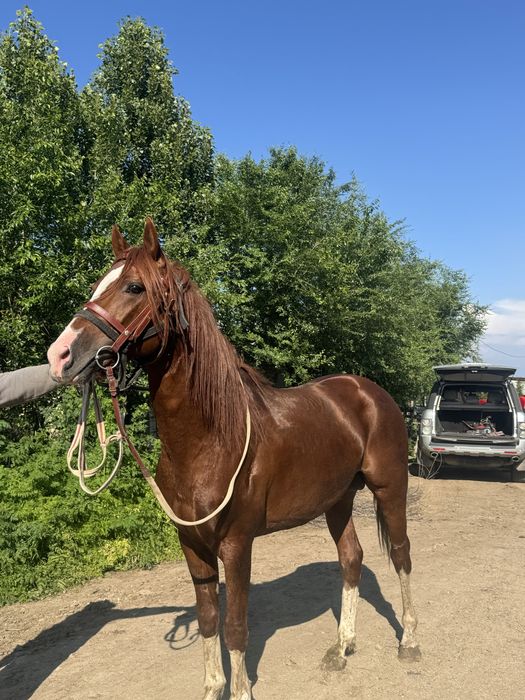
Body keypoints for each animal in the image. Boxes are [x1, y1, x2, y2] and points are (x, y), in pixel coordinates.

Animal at [47, 219, 420, 699]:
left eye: (133, 286)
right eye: (98, 284)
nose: (61, 355)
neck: (210, 441)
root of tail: (371, 392)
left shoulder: (237, 546)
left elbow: (236, 627)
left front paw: (241, 690)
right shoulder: (193, 546)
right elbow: (209, 621)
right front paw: (213, 688)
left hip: (389, 487)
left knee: (401, 554)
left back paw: (409, 641)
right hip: (337, 499)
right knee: (351, 559)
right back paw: (342, 647)